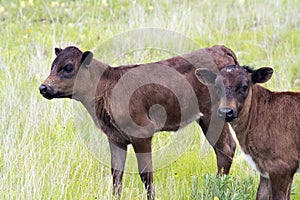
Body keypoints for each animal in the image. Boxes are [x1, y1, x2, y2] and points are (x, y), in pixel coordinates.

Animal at [39, 44, 238, 199]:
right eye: (52, 66)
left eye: (68, 67)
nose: (43, 87)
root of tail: (220, 48)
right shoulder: (115, 137)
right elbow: (116, 173)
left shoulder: (142, 133)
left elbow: (145, 174)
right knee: (228, 146)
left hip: (213, 114)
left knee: (224, 149)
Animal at [196, 65, 300, 199]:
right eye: (217, 87)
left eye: (244, 87)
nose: (226, 111)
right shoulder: (265, 170)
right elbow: (261, 195)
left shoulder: (282, 167)